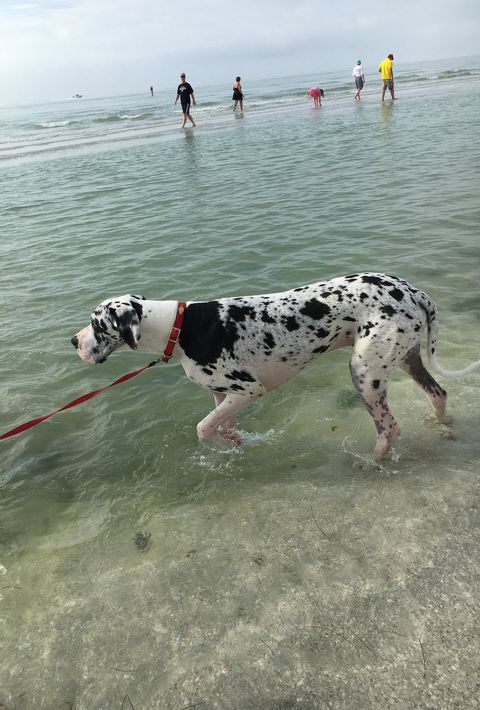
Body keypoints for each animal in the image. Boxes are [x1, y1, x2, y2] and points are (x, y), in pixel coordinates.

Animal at [71, 272, 480, 462]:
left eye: (96, 324)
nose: (73, 342)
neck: (179, 326)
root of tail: (414, 291)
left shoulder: (248, 389)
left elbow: (202, 428)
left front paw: (225, 443)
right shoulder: (222, 395)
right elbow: (219, 426)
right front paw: (233, 442)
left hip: (365, 373)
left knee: (390, 429)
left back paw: (370, 463)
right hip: (405, 358)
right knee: (438, 393)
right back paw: (440, 425)